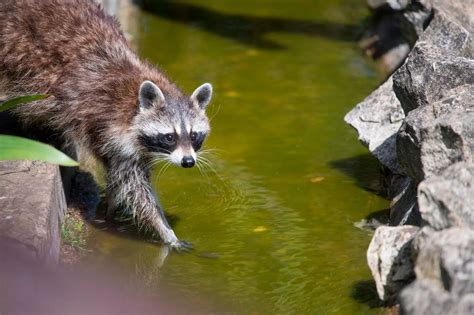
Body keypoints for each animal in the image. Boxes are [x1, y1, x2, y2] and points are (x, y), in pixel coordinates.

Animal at [0, 0, 212, 249]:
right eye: (170, 136)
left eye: (194, 135)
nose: (188, 162)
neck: (133, 105)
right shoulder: (107, 124)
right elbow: (134, 187)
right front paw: (165, 231)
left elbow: (118, 175)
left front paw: (112, 207)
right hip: (18, 56)